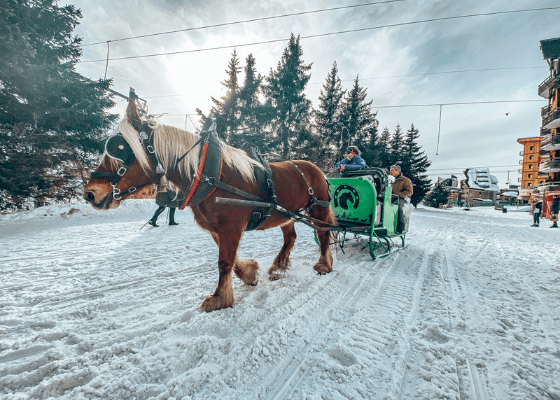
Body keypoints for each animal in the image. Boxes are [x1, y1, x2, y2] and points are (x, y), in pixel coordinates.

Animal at [83, 98, 336, 310]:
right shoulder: (218, 228)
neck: (210, 174)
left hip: (318, 208)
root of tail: (317, 168)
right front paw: (249, 274)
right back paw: (279, 265)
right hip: (287, 214)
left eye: (120, 148)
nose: (90, 193)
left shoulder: (230, 228)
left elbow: (224, 262)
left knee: (323, 233)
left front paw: (219, 299)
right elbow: (231, 261)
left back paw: (324, 264)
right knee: (290, 237)